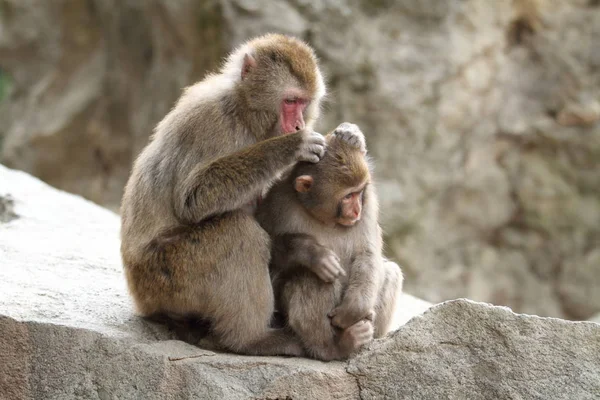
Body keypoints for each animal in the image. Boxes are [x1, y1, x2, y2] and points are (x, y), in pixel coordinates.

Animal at [122, 32, 328, 354]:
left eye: (304, 103)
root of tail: (141, 298)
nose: (299, 124)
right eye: (290, 101)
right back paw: (250, 340)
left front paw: (303, 252)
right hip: (164, 279)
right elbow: (192, 199)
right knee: (239, 233)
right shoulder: (209, 122)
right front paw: (291, 146)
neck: (244, 114)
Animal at [258, 121, 404, 360]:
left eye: (359, 192)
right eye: (348, 196)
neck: (325, 218)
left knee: (391, 272)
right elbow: (269, 244)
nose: (356, 210)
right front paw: (314, 254)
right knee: (311, 277)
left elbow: (368, 253)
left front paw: (354, 308)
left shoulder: (369, 206)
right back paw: (334, 347)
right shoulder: (277, 200)